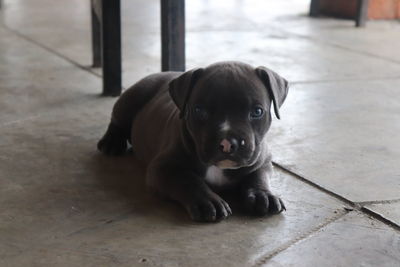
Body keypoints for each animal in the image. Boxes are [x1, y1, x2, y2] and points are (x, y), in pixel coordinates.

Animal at [98, 61, 290, 223]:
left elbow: (258, 176)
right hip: (133, 97)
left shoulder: (262, 160)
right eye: (199, 111)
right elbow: (188, 180)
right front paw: (208, 201)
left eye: (257, 112)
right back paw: (111, 142)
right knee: (117, 120)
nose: (227, 143)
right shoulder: (163, 168)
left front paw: (263, 195)